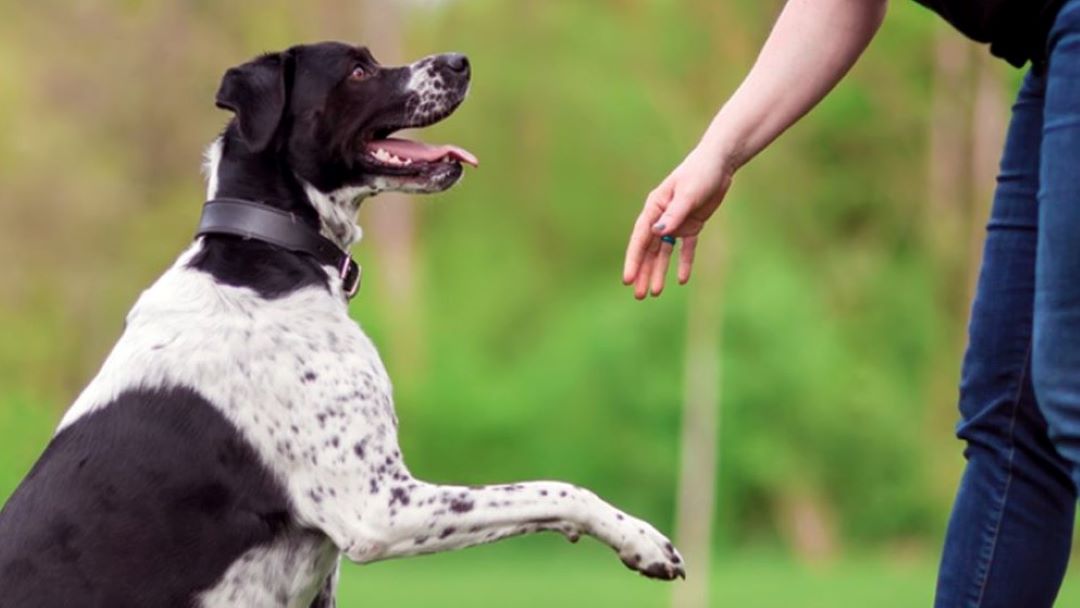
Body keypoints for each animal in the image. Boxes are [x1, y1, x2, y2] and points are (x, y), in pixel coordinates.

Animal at [0, 42, 682, 608]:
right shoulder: (377, 506)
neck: (269, 253)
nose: (459, 61)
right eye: (357, 70)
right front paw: (641, 539)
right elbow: (555, 489)